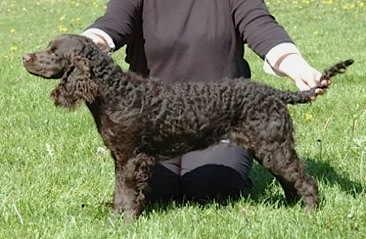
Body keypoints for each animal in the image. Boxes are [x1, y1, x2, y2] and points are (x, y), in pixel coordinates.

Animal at [22, 34, 352, 220]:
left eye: (53, 51)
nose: (24, 56)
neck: (115, 92)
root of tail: (275, 93)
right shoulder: (121, 158)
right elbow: (119, 192)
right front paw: (116, 216)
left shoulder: (131, 158)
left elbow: (127, 193)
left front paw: (123, 221)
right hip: (270, 149)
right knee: (290, 181)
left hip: (275, 148)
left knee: (305, 181)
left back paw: (308, 214)